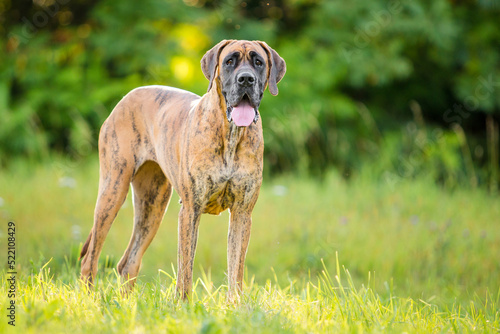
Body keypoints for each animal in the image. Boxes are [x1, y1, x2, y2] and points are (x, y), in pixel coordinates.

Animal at [80, 39, 288, 298]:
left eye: (258, 62)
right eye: (229, 61)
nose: (246, 79)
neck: (230, 134)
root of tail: (126, 97)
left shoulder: (242, 213)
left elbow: (236, 269)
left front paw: (236, 304)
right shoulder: (191, 210)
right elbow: (186, 267)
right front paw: (183, 303)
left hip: (152, 205)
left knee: (129, 262)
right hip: (113, 191)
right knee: (90, 258)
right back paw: (88, 299)